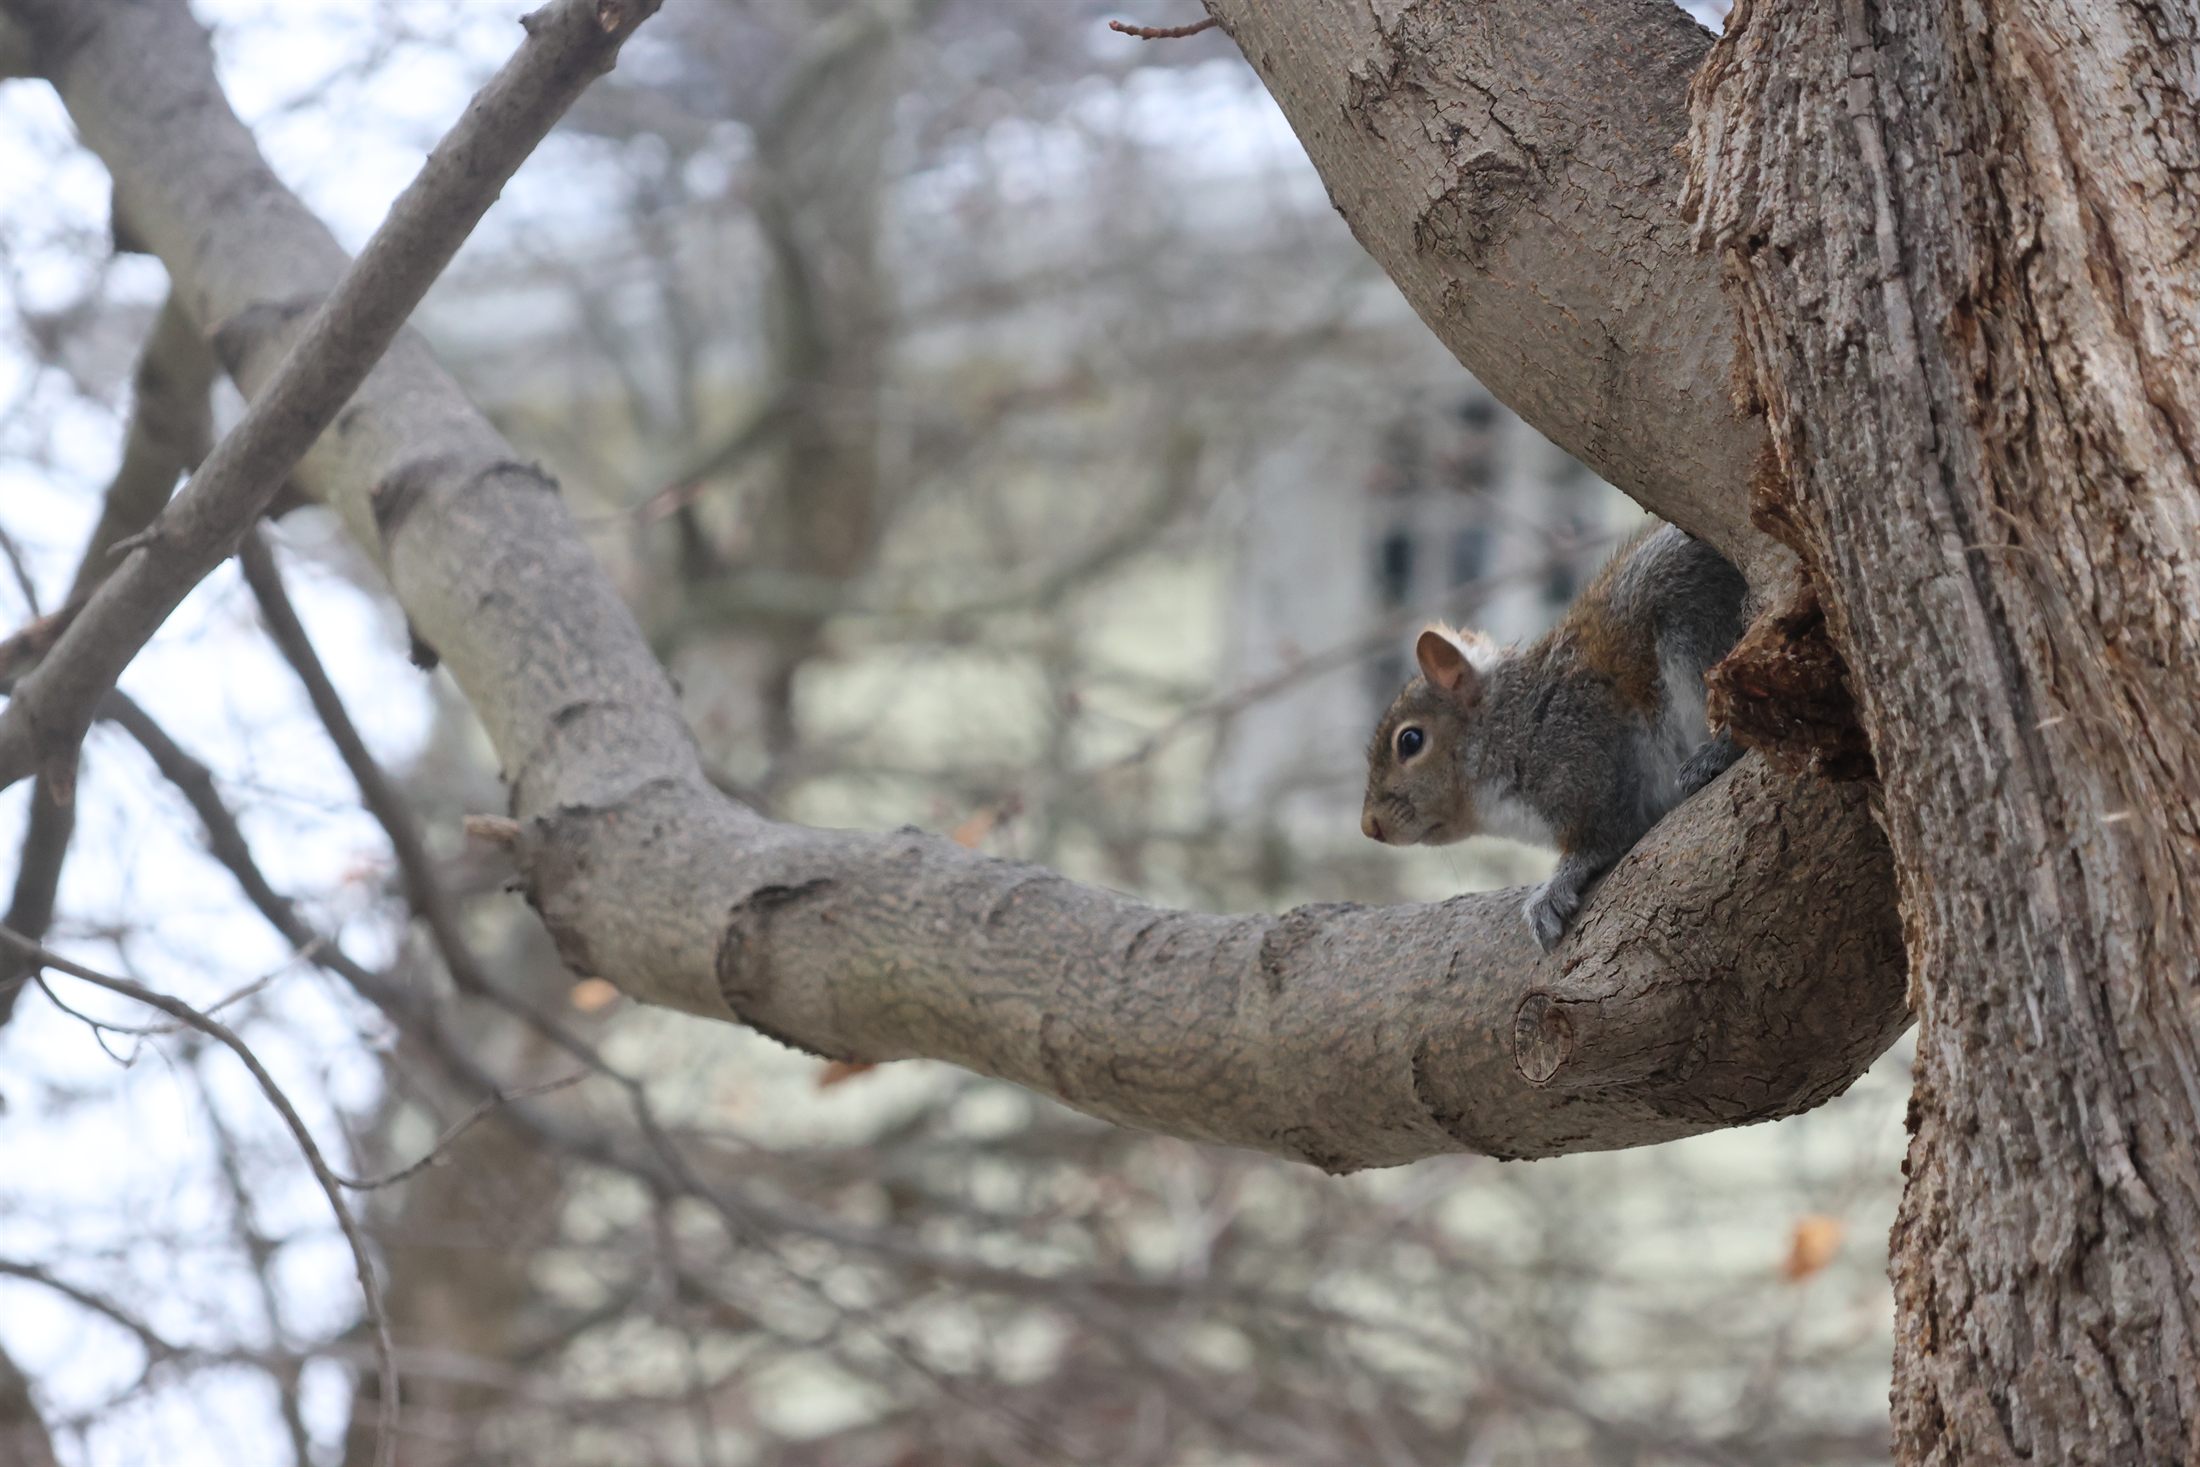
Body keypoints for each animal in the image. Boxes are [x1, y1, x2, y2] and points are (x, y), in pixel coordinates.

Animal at [1360, 522, 1749, 951]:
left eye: (1410, 741)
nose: (1369, 826)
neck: (1514, 723)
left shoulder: (1585, 753)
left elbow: (1603, 834)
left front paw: (1556, 886)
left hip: (1694, 619)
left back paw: (1715, 752)